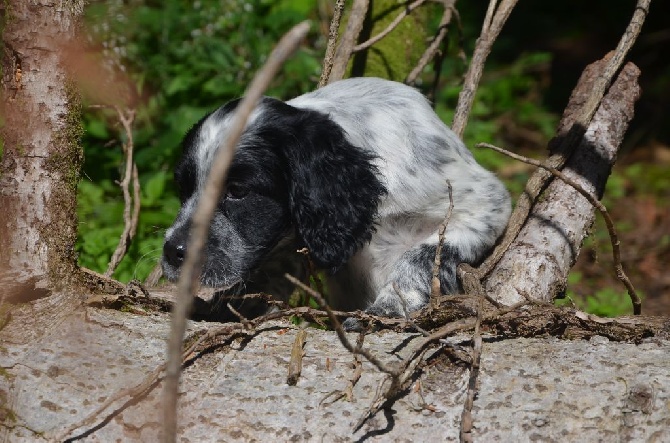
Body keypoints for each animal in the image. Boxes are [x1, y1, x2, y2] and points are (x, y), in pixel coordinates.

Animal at [165, 76, 512, 326]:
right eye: (184, 188)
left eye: (237, 190)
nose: (172, 253)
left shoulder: (486, 202)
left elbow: (422, 253)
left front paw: (391, 305)